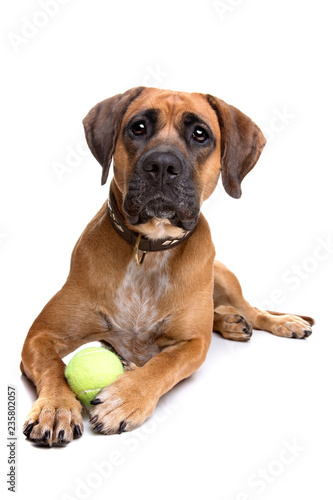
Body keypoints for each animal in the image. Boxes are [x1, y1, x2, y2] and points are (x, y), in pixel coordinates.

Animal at [21, 86, 314, 446]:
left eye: (200, 134)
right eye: (138, 127)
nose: (162, 164)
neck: (149, 250)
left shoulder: (193, 344)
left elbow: (164, 363)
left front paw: (126, 398)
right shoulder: (40, 336)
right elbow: (52, 366)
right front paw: (56, 406)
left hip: (224, 277)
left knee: (253, 310)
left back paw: (278, 322)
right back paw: (230, 321)